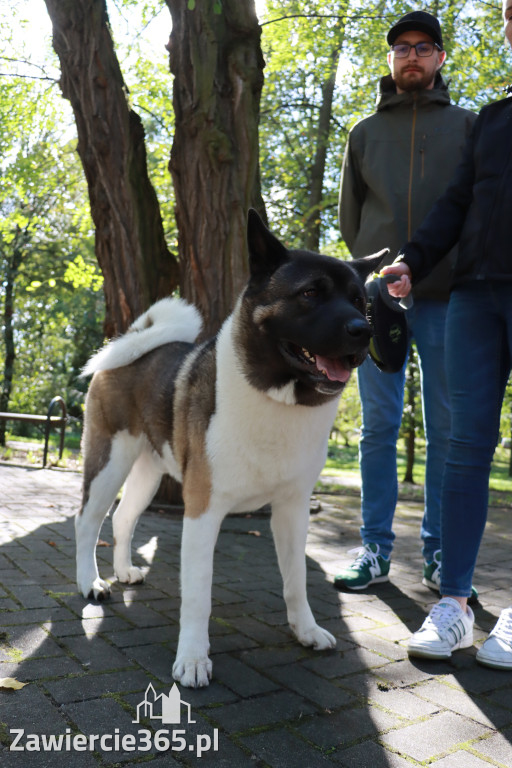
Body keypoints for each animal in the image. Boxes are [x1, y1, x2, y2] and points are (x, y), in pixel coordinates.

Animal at [77, 207, 384, 688]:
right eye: (310, 293)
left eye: (360, 301)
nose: (363, 330)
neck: (277, 397)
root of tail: (131, 345)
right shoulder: (202, 510)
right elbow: (197, 595)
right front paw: (192, 658)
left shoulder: (293, 511)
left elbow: (296, 580)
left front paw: (306, 630)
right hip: (109, 461)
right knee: (87, 522)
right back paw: (89, 582)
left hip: (148, 470)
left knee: (124, 518)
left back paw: (124, 571)